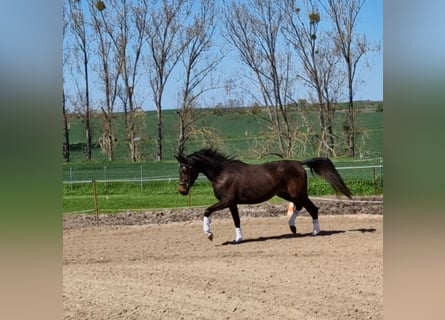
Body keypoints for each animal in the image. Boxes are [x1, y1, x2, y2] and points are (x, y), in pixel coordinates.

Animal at [175, 149, 352, 244]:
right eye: (179, 169)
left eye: (186, 169)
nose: (182, 190)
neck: (221, 174)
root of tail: (298, 163)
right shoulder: (232, 203)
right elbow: (236, 220)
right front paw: (238, 239)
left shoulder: (226, 201)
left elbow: (206, 211)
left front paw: (209, 235)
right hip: (286, 193)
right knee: (301, 206)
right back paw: (293, 227)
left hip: (298, 193)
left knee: (312, 208)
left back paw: (315, 232)